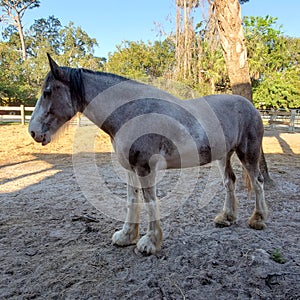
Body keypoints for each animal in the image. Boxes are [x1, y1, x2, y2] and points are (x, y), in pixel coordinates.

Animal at [28, 54, 268, 253]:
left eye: (47, 92)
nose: (33, 131)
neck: (132, 113)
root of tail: (250, 106)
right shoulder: (130, 168)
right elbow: (132, 200)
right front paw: (126, 236)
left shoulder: (145, 168)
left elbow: (150, 201)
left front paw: (150, 243)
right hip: (223, 156)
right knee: (230, 181)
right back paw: (226, 217)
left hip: (248, 154)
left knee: (257, 182)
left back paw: (258, 219)